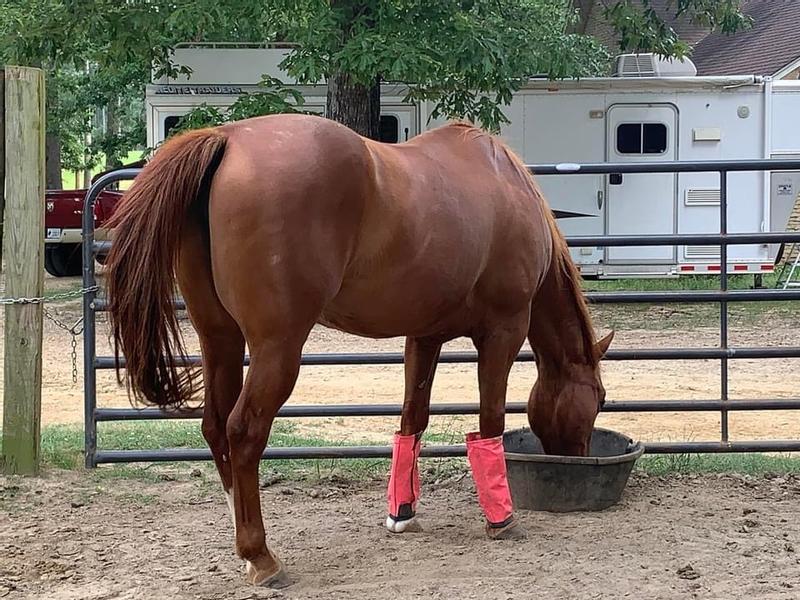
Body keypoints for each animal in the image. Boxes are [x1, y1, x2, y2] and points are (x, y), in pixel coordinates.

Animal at [104, 113, 613, 588]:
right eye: (601, 398)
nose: (579, 457)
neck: (505, 185)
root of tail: (228, 137)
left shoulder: (424, 336)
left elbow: (412, 420)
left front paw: (402, 512)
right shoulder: (503, 332)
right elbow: (489, 422)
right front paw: (501, 519)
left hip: (220, 338)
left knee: (214, 426)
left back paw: (242, 544)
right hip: (276, 348)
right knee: (243, 431)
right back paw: (261, 557)